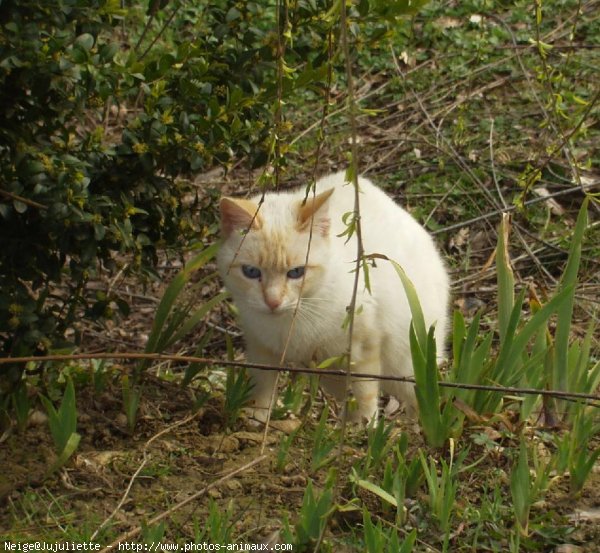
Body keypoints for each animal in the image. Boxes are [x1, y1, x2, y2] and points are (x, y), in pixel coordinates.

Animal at [218, 172, 448, 422]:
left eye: (296, 272)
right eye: (251, 272)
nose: (273, 302)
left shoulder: (363, 349)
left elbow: (365, 394)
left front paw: (366, 427)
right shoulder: (261, 348)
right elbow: (264, 388)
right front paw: (258, 419)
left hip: (406, 362)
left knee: (420, 396)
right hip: (329, 374)